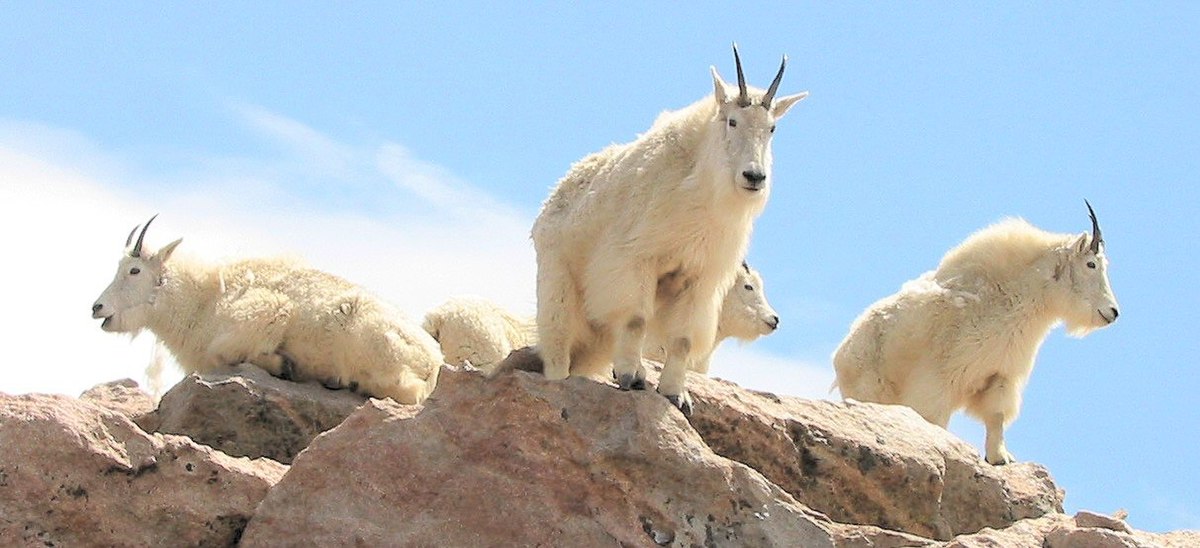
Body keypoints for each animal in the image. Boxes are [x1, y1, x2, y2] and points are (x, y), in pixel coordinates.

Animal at [90, 215, 446, 402]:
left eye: (134, 271)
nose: (97, 308)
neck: (202, 300)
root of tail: (434, 361)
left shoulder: (266, 312)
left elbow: (225, 352)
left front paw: (282, 364)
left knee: (407, 390)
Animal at [532, 44, 806, 410]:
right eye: (732, 120)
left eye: (772, 128)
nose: (754, 177)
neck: (703, 191)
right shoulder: (636, 258)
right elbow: (635, 319)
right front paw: (630, 377)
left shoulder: (699, 277)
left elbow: (683, 340)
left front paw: (676, 394)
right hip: (558, 284)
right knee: (559, 347)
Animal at [830, 202, 1118, 462]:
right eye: (1091, 264)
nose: (1113, 312)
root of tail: (841, 353)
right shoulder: (940, 377)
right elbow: (935, 417)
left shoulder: (1002, 373)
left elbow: (997, 416)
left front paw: (1000, 458)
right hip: (871, 389)